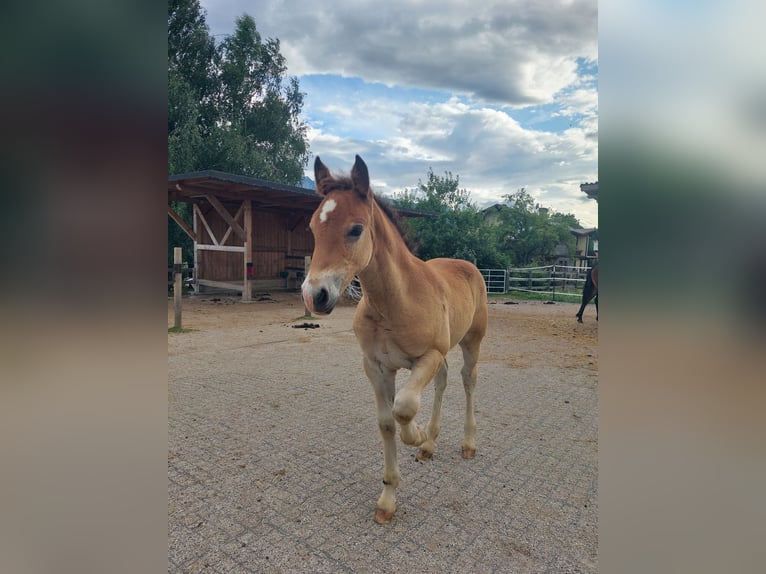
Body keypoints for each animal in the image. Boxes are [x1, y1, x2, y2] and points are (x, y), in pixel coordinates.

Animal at [302, 155, 488, 524]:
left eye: (355, 229)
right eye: (314, 228)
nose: (315, 295)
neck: (395, 302)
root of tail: (467, 265)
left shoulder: (426, 356)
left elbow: (405, 406)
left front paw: (415, 435)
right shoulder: (376, 367)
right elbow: (387, 421)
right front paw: (388, 498)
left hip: (471, 342)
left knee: (467, 381)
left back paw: (466, 443)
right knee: (444, 381)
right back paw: (430, 445)